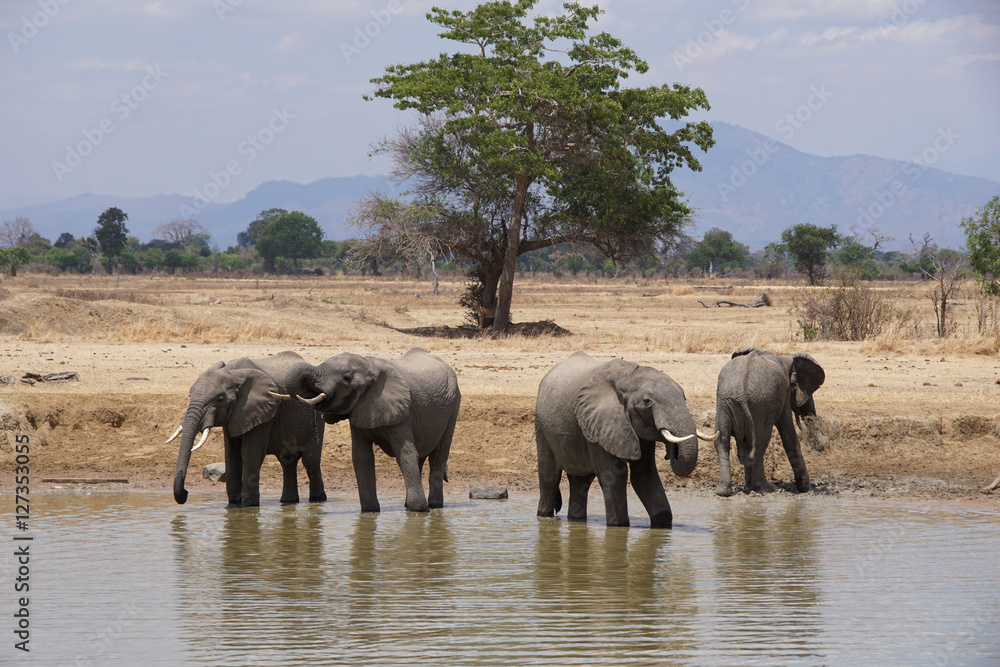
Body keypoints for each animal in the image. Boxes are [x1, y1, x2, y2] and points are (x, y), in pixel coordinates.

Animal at [170, 351, 326, 507]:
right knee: (287, 461)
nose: (186, 492)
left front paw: (248, 505)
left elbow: (249, 454)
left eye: (220, 399)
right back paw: (288, 501)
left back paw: (317, 500)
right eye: (190, 395)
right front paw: (234, 505)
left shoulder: (263, 411)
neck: (232, 373)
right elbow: (232, 454)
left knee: (310, 460)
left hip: (316, 415)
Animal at [281, 347, 461, 513]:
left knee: (438, 456)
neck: (370, 366)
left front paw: (418, 510)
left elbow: (405, 454)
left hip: (454, 405)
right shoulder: (359, 411)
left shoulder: (403, 413)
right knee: (422, 457)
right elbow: (362, 458)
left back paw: (435, 506)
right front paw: (370, 511)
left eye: (347, 378)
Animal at [534, 352, 717, 528]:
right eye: (647, 402)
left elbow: (645, 475)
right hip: (541, 425)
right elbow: (614, 478)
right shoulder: (598, 424)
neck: (629, 377)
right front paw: (619, 526)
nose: (671, 453)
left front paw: (662, 525)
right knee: (549, 477)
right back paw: (544, 516)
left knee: (580, 481)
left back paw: (576, 520)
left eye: (684, 396)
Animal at [713, 347, 825, 497]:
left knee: (723, 441)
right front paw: (806, 488)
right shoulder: (784, 391)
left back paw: (723, 491)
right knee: (760, 442)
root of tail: (741, 391)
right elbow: (788, 435)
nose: (821, 448)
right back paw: (764, 488)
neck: (787, 359)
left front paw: (747, 487)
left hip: (724, 402)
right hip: (760, 403)